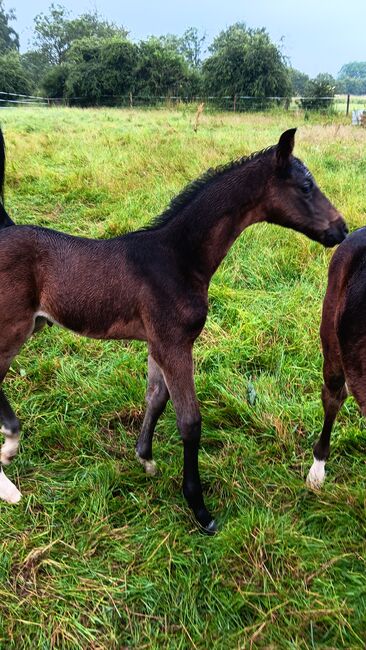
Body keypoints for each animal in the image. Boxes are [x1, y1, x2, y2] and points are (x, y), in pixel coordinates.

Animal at [0, 128, 348, 532]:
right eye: (306, 186)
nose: (341, 229)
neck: (179, 258)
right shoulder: (175, 343)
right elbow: (190, 422)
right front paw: (199, 508)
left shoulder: (158, 343)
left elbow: (155, 397)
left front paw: (145, 458)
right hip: (12, 329)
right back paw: (9, 461)